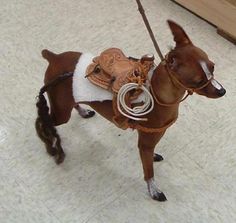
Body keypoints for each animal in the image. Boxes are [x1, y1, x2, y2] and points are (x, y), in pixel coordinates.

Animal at [35, 20, 225, 201]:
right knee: (44, 121)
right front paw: (153, 190)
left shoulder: (152, 137)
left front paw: (153, 158)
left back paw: (82, 111)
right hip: (61, 113)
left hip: (68, 98)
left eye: (213, 67)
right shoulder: (146, 143)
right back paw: (49, 142)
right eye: (198, 81)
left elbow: (150, 156)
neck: (157, 94)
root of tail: (54, 57)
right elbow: (149, 171)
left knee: (73, 103)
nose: (222, 91)